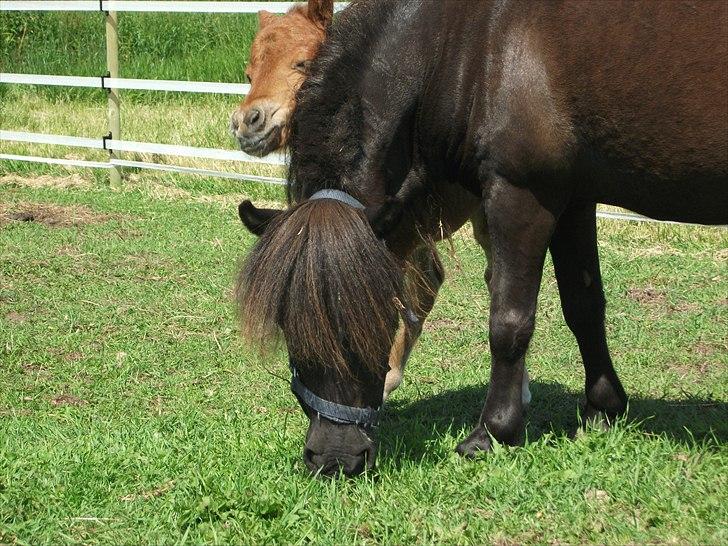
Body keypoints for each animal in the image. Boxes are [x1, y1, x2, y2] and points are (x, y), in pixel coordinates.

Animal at [236, 0, 724, 474]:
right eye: (288, 324)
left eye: (373, 315)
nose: (334, 458)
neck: (475, 42)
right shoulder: (574, 198)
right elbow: (584, 307)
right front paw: (603, 409)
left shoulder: (521, 195)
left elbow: (508, 321)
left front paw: (492, 433)